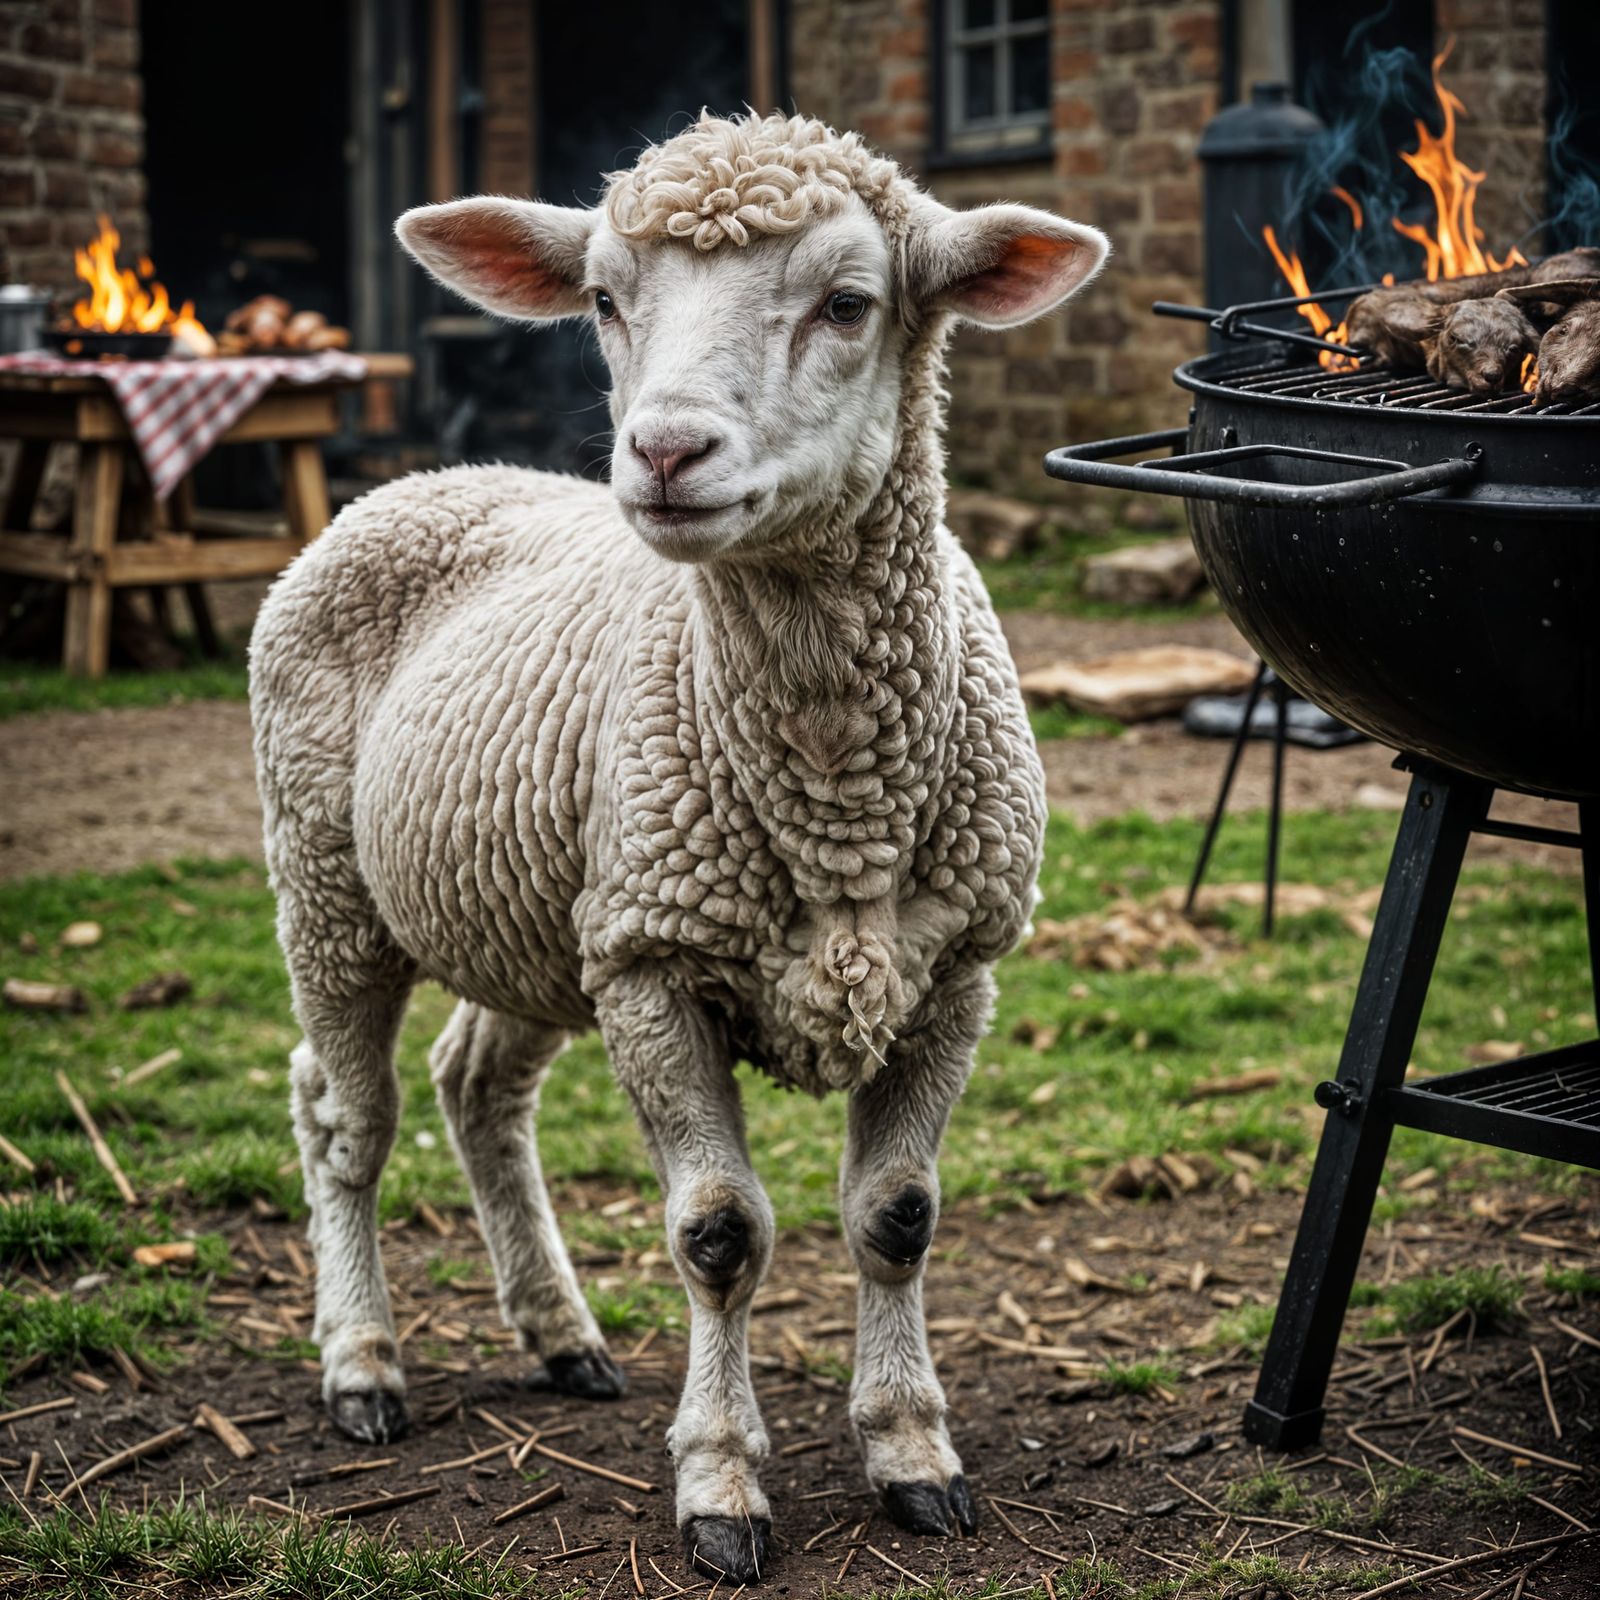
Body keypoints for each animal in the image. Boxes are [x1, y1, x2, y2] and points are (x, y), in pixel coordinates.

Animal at [250, 110, 1108, 1583]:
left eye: (847, 303)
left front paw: (911, 1453)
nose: (661, 453)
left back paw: (561, 1338)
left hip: (545, 909)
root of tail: (421, 481)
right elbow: (718, 1233)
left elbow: (898, 1215)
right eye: (602, 300)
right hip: (327, 877)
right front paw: (720, 1484)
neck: (831, 782)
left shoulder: (953, 972)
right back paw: (361, 1363)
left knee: (478, 1089)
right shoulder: (656, 968)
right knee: (344, 1116)